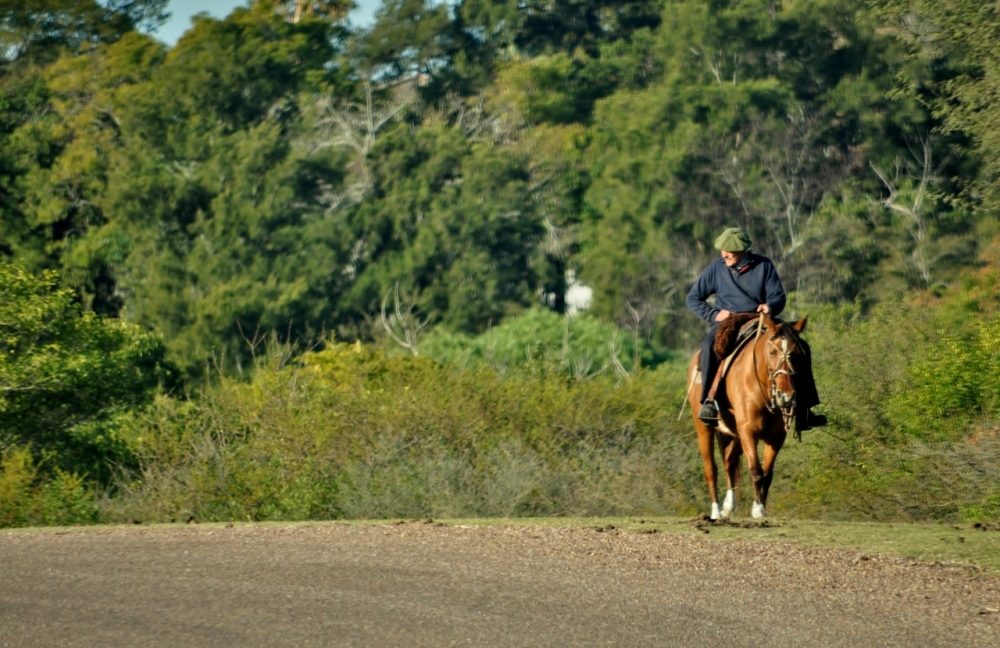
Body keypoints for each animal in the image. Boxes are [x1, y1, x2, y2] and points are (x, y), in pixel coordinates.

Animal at [684, 312, 808, 520]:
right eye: (772, 353)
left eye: (798, 353)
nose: (787, 396)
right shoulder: (749, 431)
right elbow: (756, 471)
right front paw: (757, 509)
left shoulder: (776, 437)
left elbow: (767, 474)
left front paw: (761, 508)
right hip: (704, 429)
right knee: (711, 469)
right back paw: (715, 512)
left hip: (734, 434)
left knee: (729, 463)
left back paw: (728, 506)